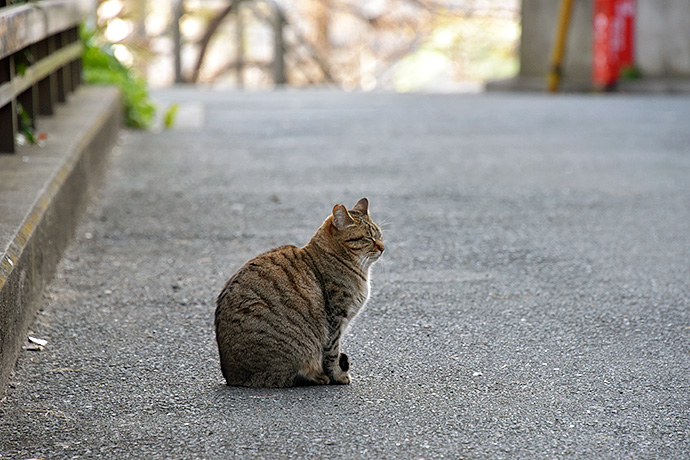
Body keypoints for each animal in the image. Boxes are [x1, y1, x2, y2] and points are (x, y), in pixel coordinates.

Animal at [214, 198, 382, 388]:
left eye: (379, 235)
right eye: (368, 238)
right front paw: (338, 376)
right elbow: (332, 353)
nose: (383, 247)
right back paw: (317, 377)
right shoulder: (334, 320)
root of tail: (231, 377)